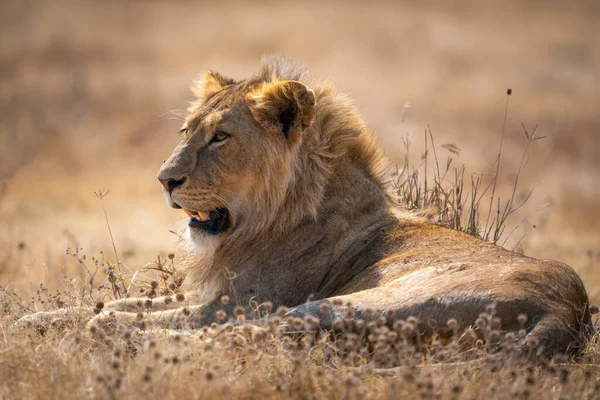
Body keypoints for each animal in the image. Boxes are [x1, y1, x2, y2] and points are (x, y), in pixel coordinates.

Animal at [16, 55, 592, 356]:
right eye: (186, 132)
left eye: (221, 137)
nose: (164, 180)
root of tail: (569, 310)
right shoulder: (212, 293)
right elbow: (113, 302)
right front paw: (30, 322)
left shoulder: (232, 303)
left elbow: (133, 313)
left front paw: (99, 328)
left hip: (353, 302)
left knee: (251, 336)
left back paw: (141, 344)